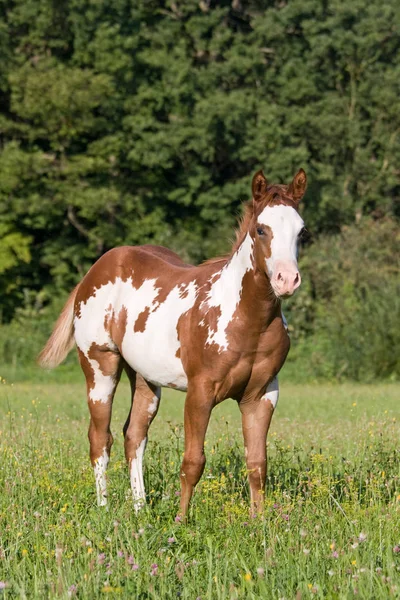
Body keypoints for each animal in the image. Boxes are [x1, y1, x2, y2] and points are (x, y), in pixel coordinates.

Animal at [38, 168, 306, 516]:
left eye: (301, 232)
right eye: (261, 229)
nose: (287, 280)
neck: (247, 320)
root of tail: (93, 273)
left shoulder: (261, 395)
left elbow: (257, 464)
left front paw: (258, 522)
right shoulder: (200, 392)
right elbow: (193, 462)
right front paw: (180, 520)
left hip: (144, 379)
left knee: (134, 435)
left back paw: (140, 509)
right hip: (100, 368)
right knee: (100, 438)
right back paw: (104, 508)